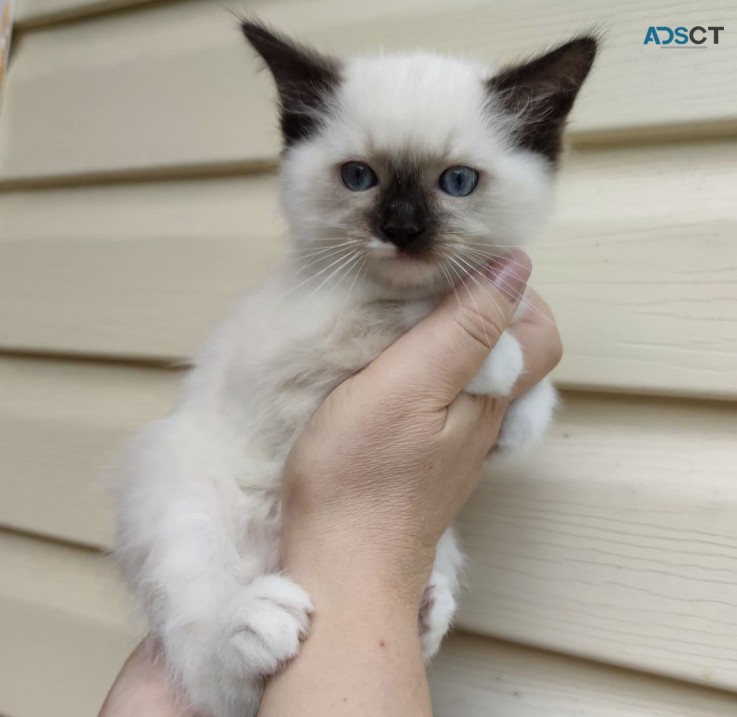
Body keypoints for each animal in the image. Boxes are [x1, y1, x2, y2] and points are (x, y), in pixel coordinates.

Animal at [112, 22, 596, 716]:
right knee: (209, 672)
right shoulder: (296, 357)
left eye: (457, 182)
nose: (402, 229)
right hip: (182, 496)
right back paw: (253, 625)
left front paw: (521, 413)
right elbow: (394, 317)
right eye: (359, 176)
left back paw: (426, 609)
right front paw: (497, 358)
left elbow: (528, 393)